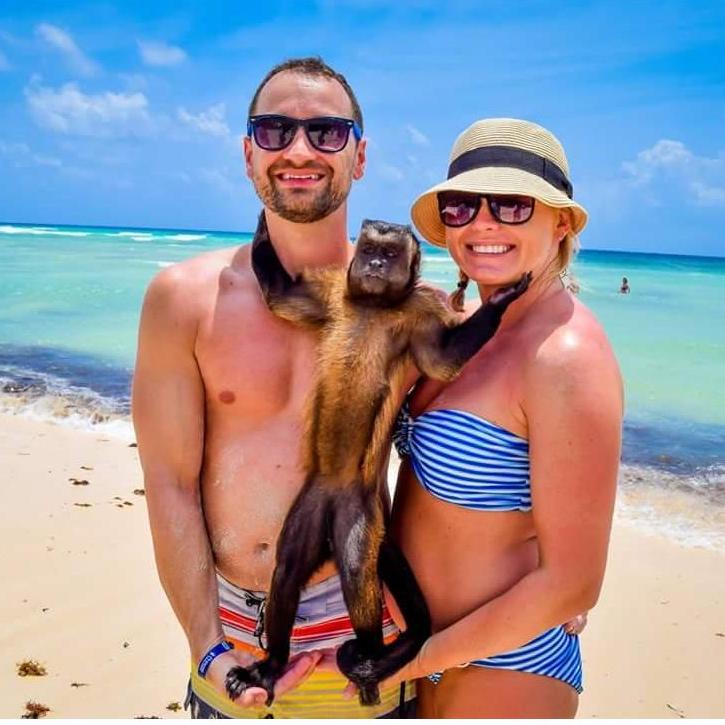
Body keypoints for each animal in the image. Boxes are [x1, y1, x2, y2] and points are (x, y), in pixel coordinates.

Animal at [225, 213, 531, 707]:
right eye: (369, 249)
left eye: (389, 254)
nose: (372, 263)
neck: (374, 305)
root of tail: (335, 500)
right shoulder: (333, 294)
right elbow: (280, 298)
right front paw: (262, 227)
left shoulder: (422, 312)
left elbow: (442, 362)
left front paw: (503, 299)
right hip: (312, 504)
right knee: (287, 571)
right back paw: (272, 666)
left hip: (359, 511)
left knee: (355, 567)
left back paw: (370, 656)